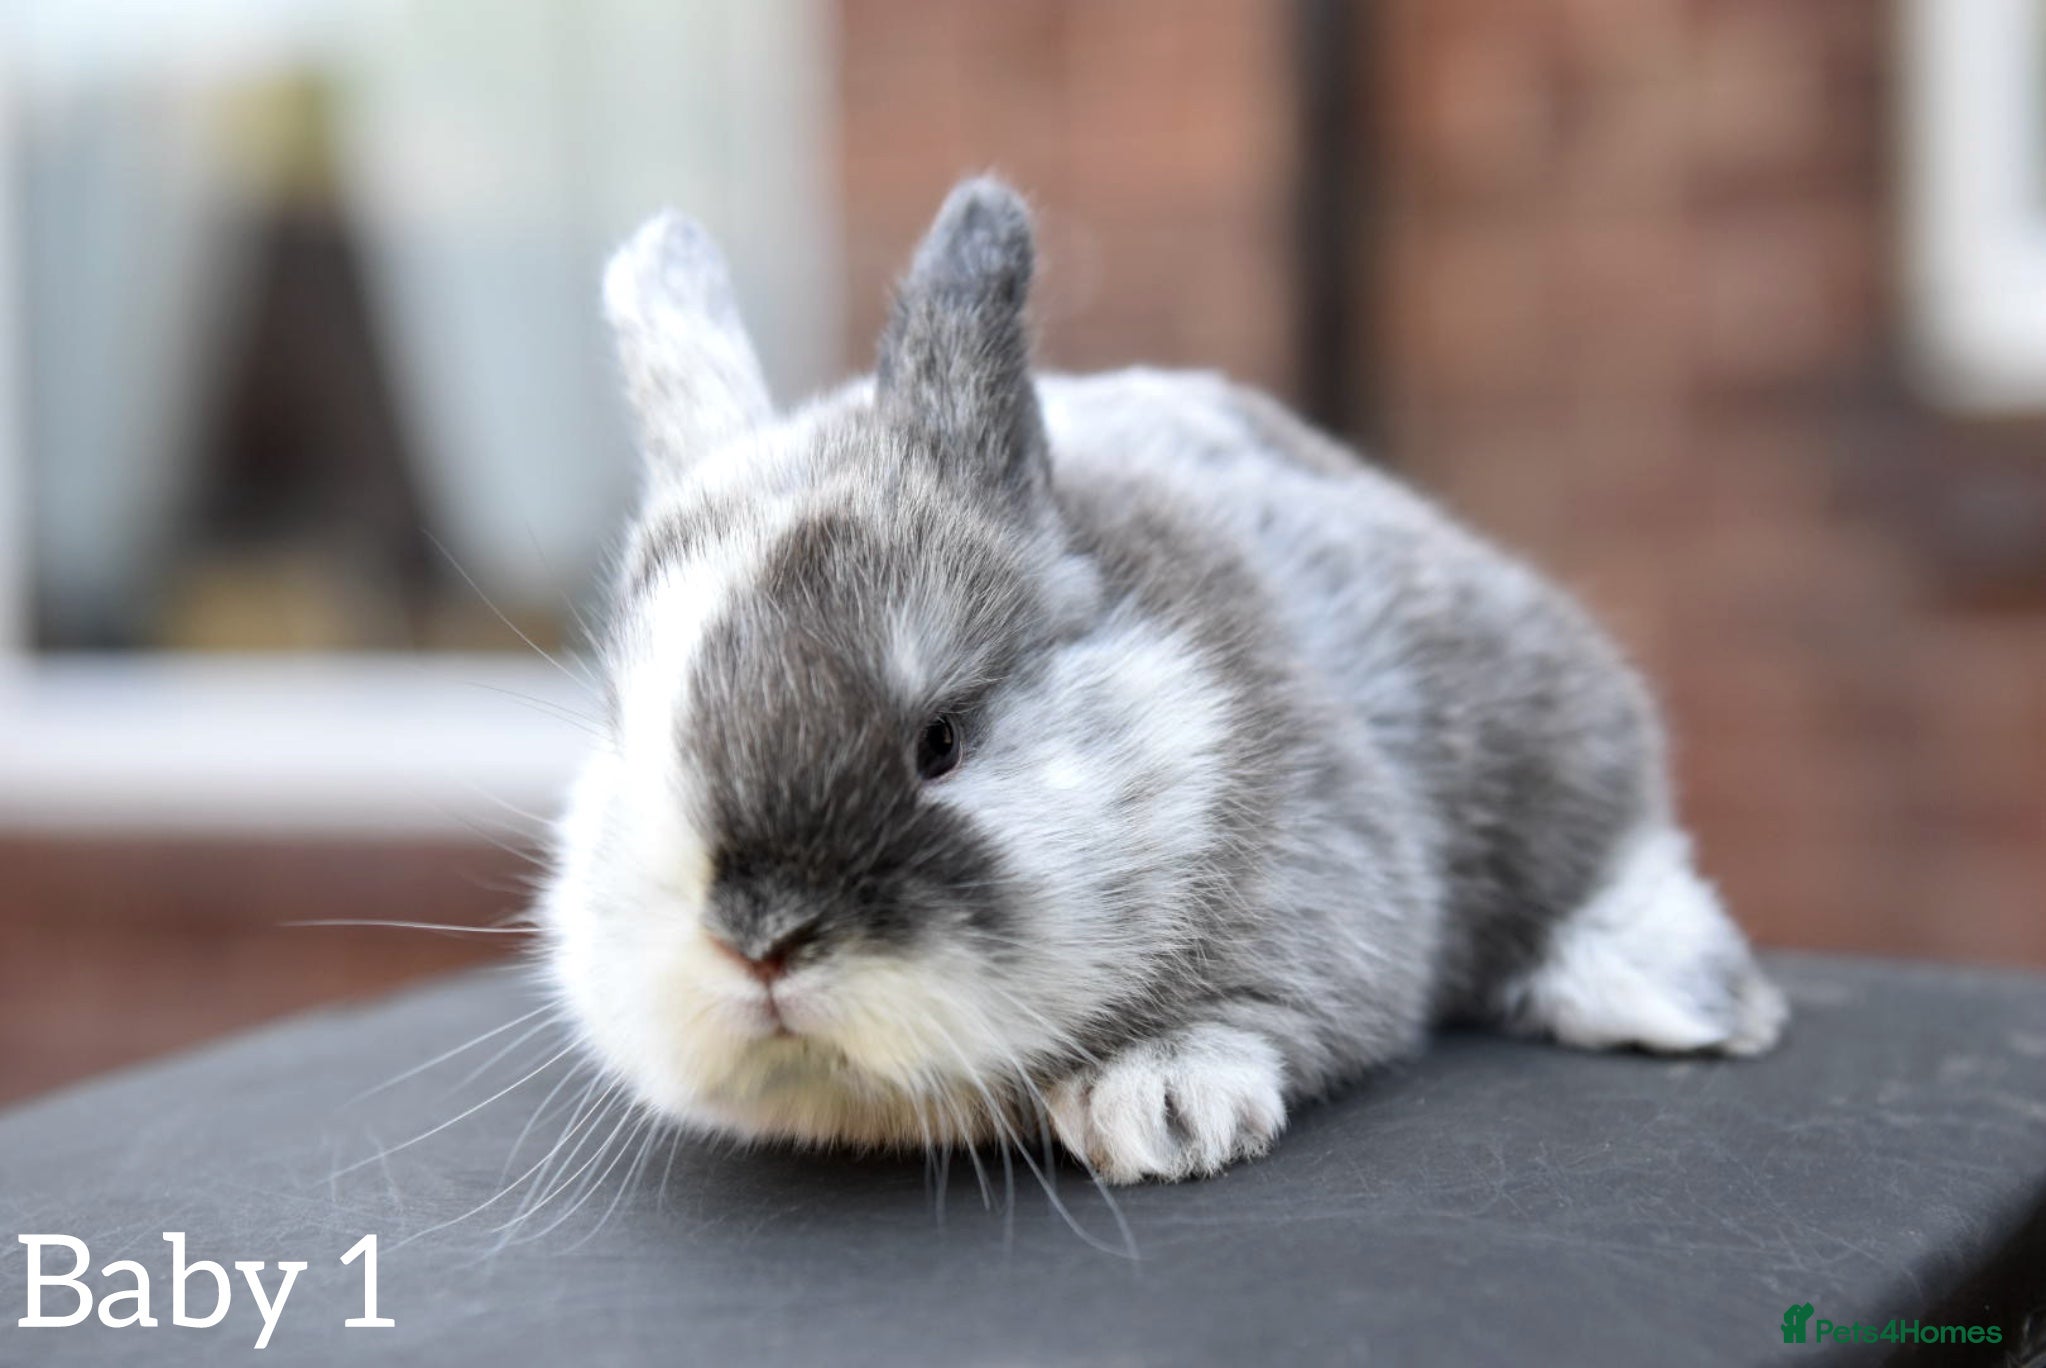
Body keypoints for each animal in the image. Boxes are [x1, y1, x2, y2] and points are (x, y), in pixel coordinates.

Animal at [535, 177, 1787, 1185]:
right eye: (629, 739)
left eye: (940, 740)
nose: (760, 941)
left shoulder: (1333, 876)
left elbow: (1286, 1003)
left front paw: (1162, 1111)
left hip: (1538, 722)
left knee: (1618, 851)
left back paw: (1692, 1002)